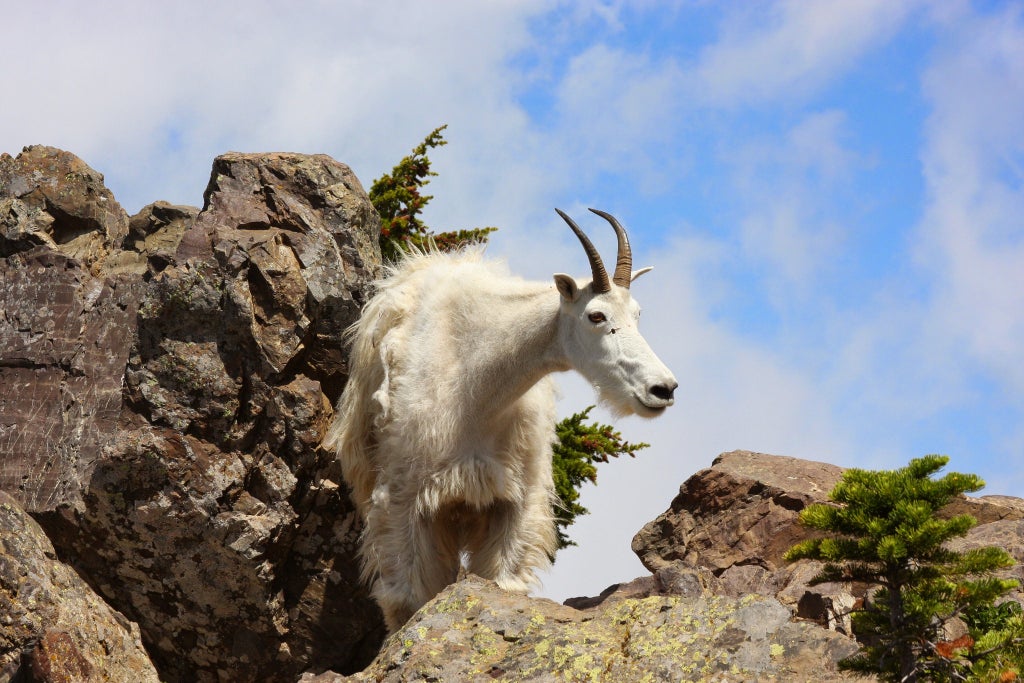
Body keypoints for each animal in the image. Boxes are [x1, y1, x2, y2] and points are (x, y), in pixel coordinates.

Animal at [323, 208, 675, 630]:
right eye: (596, 315)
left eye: (638, 314)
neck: (477, 385)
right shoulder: (404, 498)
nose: (663, 388)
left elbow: (503, 580)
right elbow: (407, 597)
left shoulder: (514, 499)